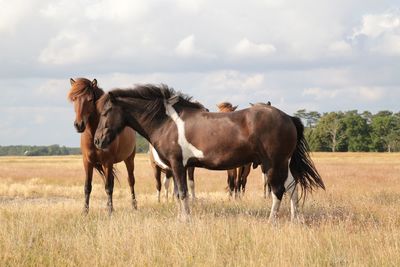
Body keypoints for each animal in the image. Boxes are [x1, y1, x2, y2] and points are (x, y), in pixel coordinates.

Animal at [68, 78, 137, 216]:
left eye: (90, 99)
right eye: (74, 98)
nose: (79, 125)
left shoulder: (107, 162)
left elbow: (108, 187)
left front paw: (109, 212)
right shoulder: (87, 162)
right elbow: (87, 187)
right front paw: (85, 212)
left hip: (129, 159)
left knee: (130, 181)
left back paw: (134, 206)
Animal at [94, 85, 324, 222]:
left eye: (106, 112)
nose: (97, 140)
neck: (166, 122)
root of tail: (289, 118)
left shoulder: (178, 164)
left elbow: (183, 193)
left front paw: (185, 220)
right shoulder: (180, 167)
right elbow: (178, 193)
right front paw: (181, 218)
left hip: (273, 164)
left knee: (278, 190)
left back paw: (271, 221)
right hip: (283, 163)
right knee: (292, 186)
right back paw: (295, 219)